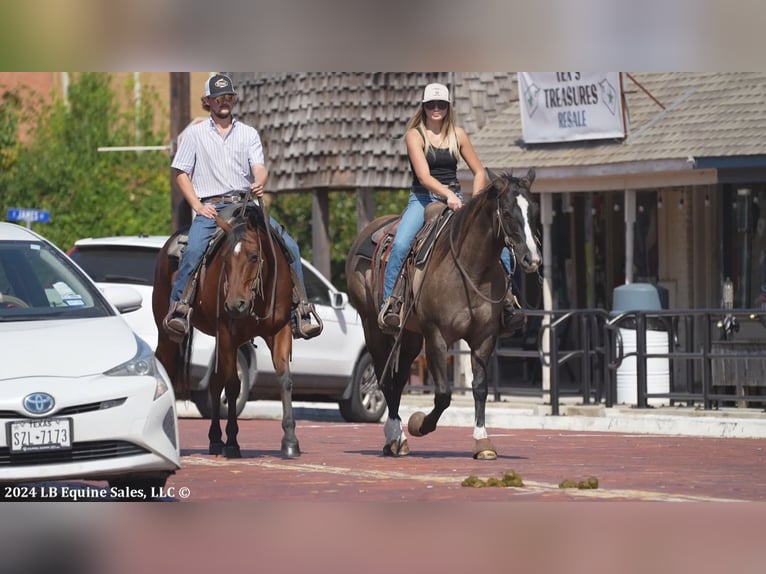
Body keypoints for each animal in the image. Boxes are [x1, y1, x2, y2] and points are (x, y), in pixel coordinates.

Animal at [153, 200, 300, 462]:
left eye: (254, 256)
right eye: (226, 260)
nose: (235, 305)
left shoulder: (280, 331)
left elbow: (285, 379)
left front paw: (290, 441)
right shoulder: (229, 334)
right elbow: (232, 386)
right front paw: (232, 442)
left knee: (213, 382)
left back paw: (214, 440)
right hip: (167, 334)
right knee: (168, 370)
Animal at [344, 169, 544, 462]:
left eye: (534, 211)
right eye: (506, 213)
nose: (533, 259)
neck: (470, 271)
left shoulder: (484, 338)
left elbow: (480, 388)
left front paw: (482, 441)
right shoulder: (436, 337)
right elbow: (443, 394)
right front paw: (419, 424)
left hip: (410, 336)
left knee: (399, 379)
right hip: (373, 327)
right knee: (384, 378)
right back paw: (395, 437)